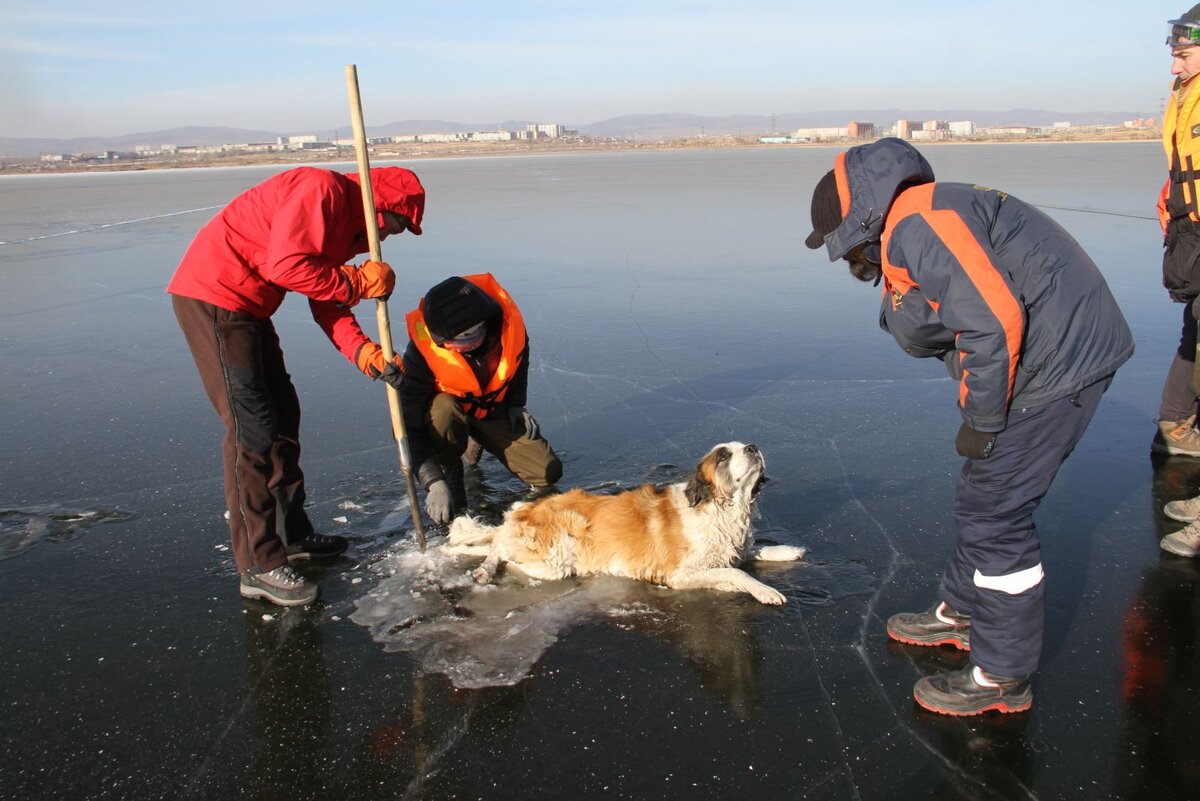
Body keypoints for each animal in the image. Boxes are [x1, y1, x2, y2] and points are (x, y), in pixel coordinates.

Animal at [444, 441, 806, 604]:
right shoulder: (680, 575)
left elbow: (750, 554)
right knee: (500, 550)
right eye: (723, 456)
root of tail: (525, 509)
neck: (719, 509)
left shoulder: (730, 548)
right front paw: (764, 591)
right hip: (554, 560)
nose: (753, 446)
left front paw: (786, 551)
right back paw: (484, 568)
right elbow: (736, 572)